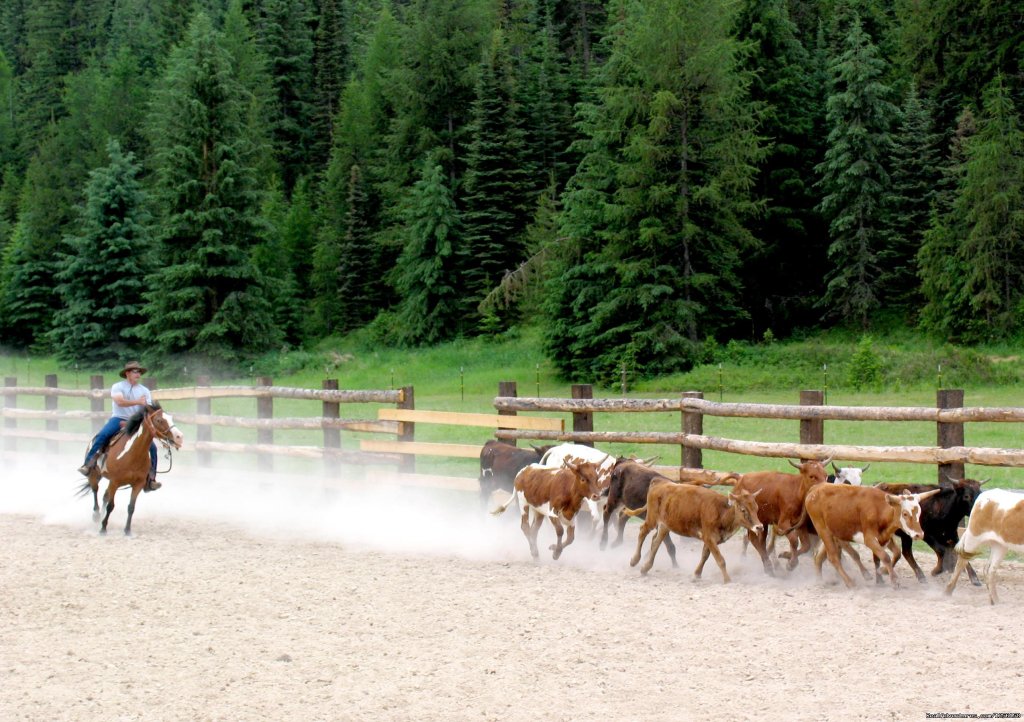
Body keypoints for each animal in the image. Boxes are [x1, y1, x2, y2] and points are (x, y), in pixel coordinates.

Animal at [618, 479, 765, 585]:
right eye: (743, 509)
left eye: (756, 508)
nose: (759, 527)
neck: (721, 511)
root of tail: (660, 482)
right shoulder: (709, 537)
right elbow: (720, 560)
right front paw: (728, 580)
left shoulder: (709, 539)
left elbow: (705, 556)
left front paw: (696, 574)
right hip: (652, 519)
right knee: (643, 531)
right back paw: (634, 560)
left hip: (665, 525)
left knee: (656, 542)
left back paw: (645, 568)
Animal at [794, 481, 937, 589]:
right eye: (905, 513)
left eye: (919, 513)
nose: (919, 534)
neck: (879, 509)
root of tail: (816, 487)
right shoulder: (869, 538)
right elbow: (885, 557)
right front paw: (894, 581)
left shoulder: (883, 538)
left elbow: (882, 557)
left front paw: (880, 578)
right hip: (822, 529)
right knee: (833, 557)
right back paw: (849, 582)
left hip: (831, 533)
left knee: (819, 557)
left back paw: (820, 580)